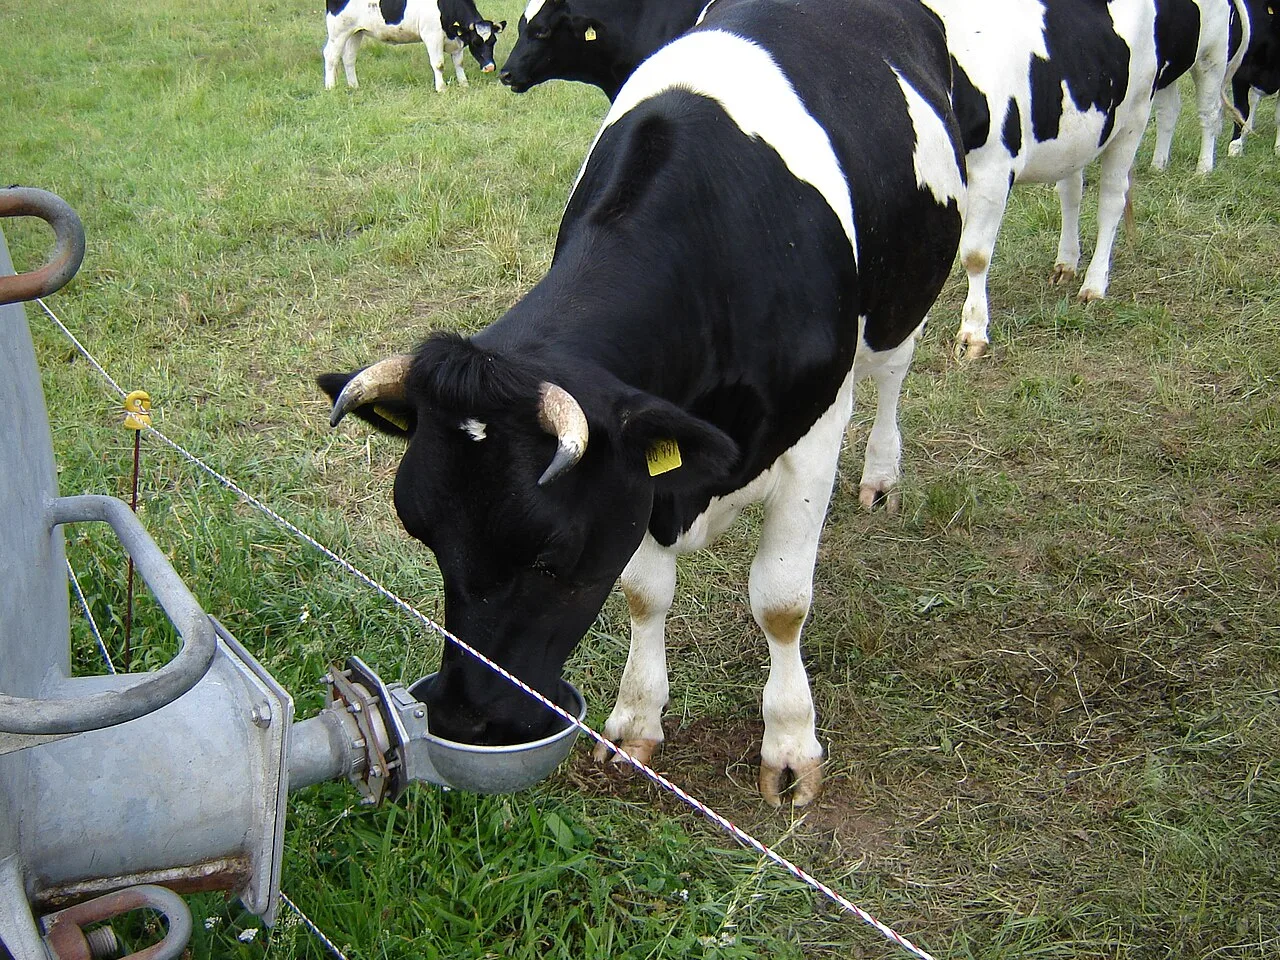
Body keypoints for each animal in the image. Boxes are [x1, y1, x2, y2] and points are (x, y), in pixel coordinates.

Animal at [323, 0, 506, 92]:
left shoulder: (456, 40)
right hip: (338, 31)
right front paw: (441, 88)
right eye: (475, 42)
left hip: (356, 32)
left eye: (493, 41)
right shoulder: (432, 36)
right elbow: (439, 64)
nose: (490, 67)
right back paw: (330, 87)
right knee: (331, 56)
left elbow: (458, 63)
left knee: (348, 58)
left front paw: (464, 84)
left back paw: (354, 86)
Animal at [930, 0, 1161, 359]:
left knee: (1111, 200)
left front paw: (973, 332)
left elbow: (975, 255)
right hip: (1073, 139)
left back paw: (1095, 284)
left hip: (1132, 120)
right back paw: (1066, 263)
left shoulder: (993, 169)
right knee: (1071, 193)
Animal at [1149, 0, 1246, 173]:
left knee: (1210, 113)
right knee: (1168, 111)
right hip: (1169, 67)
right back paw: (1157, 166)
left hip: (1211, 59)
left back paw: (1204, 168)